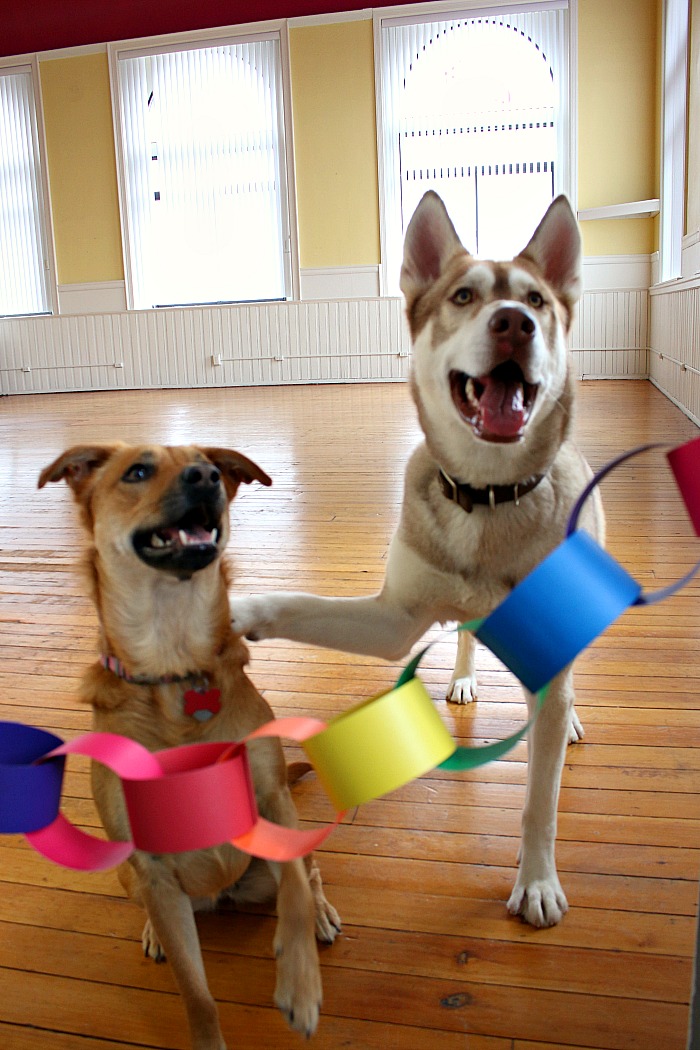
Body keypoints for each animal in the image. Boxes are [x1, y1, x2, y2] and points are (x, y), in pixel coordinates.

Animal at [38, 443, 340, 1050]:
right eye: (137, 471)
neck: (174, 666)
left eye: (212, 465)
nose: (205, 477)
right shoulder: (151, 866)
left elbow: (296, 894)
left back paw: (321, 914)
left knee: (309, 874)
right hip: (132, 879)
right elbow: (196, 995)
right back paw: (156, 931)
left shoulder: (273, 802)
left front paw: (300, 987)